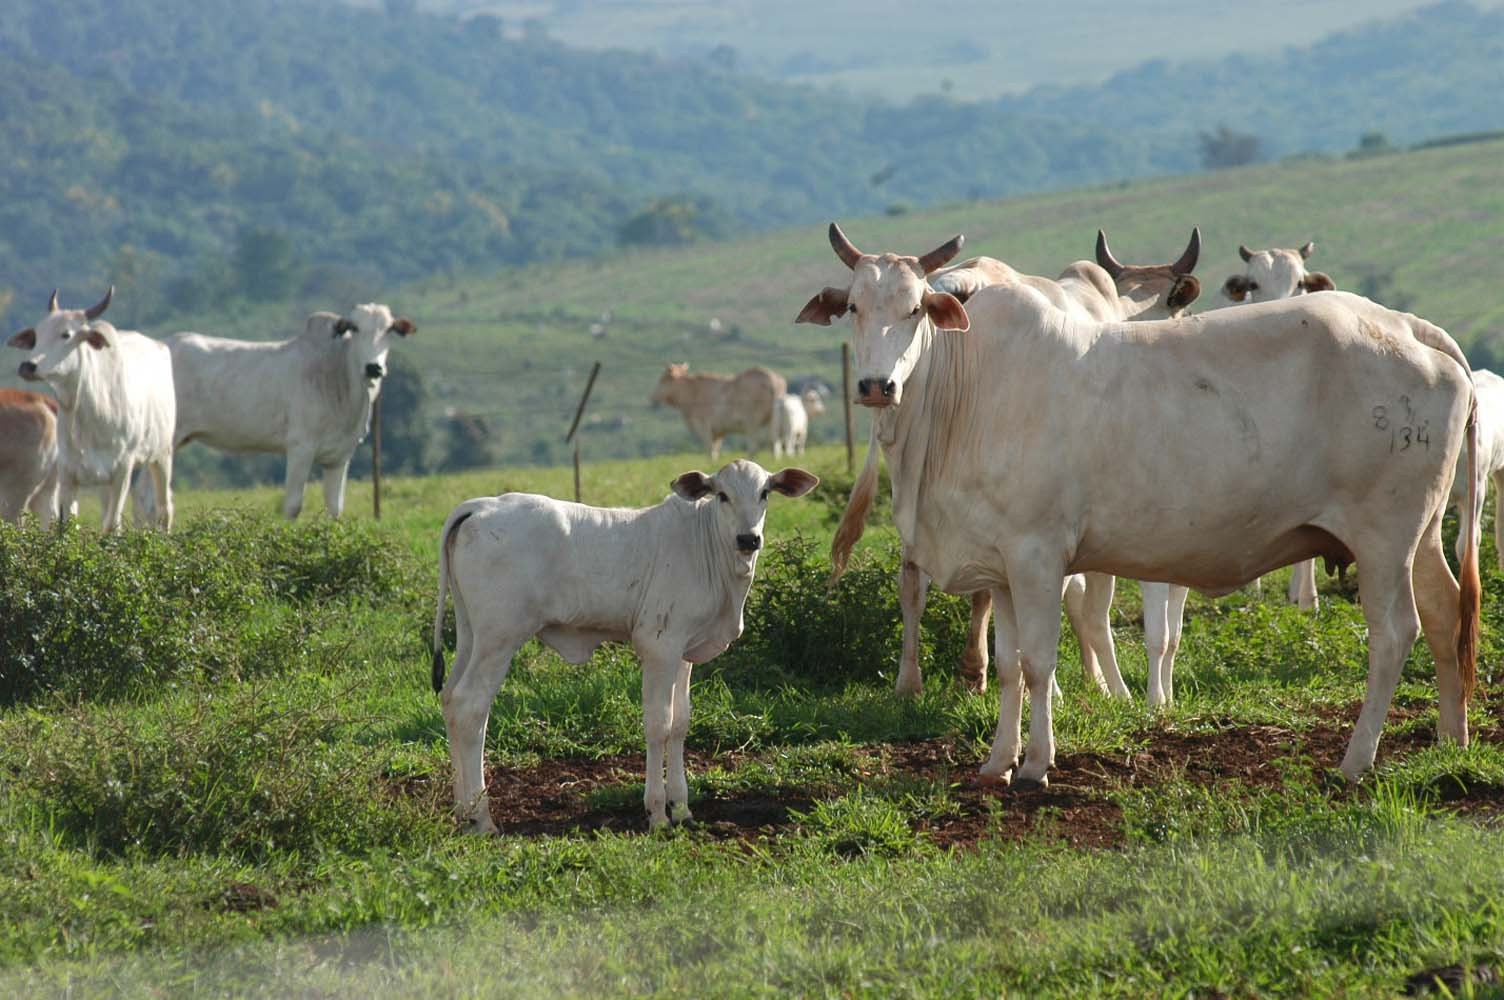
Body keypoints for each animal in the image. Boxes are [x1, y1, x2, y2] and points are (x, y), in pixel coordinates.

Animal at [8, 288, 175, 533]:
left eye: (66, 334)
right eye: (37, 335)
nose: (28, 366)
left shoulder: (122, 471)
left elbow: (111, 526)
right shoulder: (68, 474)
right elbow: (68, 526)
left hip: (162, 455)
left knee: (164, 510)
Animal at [160, 303, 414, 520]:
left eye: (389, 329)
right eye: (355, 327)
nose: (373, 367)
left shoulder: (340, 456)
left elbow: (335, 509)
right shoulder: (300, 448)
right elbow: (293, 506)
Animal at [431, 459, 818, 833]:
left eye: (765, 492)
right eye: (722, 495)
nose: (748, 539)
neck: (709, 548)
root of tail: (481, 506)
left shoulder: (683, 653)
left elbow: (681, 724)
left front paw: (682, 809)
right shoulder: (658, 647)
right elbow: (659, 725)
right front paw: (658, 813)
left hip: (471, 635)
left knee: (450, 699)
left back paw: (461, 811)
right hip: (500, 638)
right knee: (471, 706)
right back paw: (481, 817)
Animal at [650, 363, 786, 461]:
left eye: (663, 380)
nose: (652, 397)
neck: (692, 392)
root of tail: (772, 378)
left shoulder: (703, 425)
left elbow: (709, 448)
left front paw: (710, 464)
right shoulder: (718, 431)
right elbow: (716, 449)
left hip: (751, 420)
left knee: (754, 445)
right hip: (772, 419)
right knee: (774, 441)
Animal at [847, 229, 1203, 699]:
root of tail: (967, 277)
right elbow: (1091, 607)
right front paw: (1109, 687)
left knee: (912, 581)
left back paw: (910, 683)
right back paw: (981, 672)